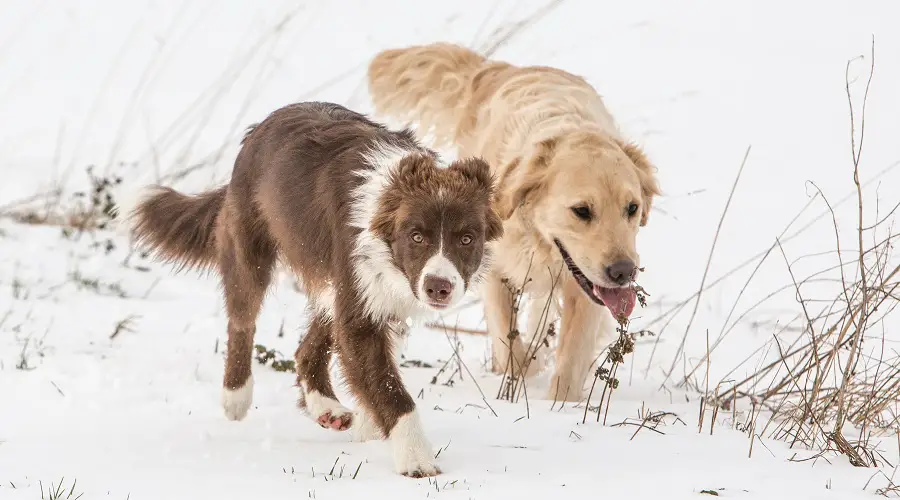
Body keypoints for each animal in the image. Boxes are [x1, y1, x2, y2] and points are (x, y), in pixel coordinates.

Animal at [128, 100, 500, 476]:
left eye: (467, 239)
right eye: (416, 236)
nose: (439, 287)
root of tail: (258, 128)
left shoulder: (377, 297)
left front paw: (370, 428)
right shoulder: (360, 304)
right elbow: (390, 389)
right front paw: (416, 459)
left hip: (333, 284)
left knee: (306, 349)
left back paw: (327, 409)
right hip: (251, 250)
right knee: (242, 320)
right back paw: (236, 396)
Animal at [366, 43, 660, 402]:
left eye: (632, 208)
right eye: (581, 211)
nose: (623, 273)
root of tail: (503, 69)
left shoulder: (584, 288)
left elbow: (572, 353)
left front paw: (561, 404)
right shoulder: (490, 267)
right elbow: (508, 342)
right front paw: (519, 380)